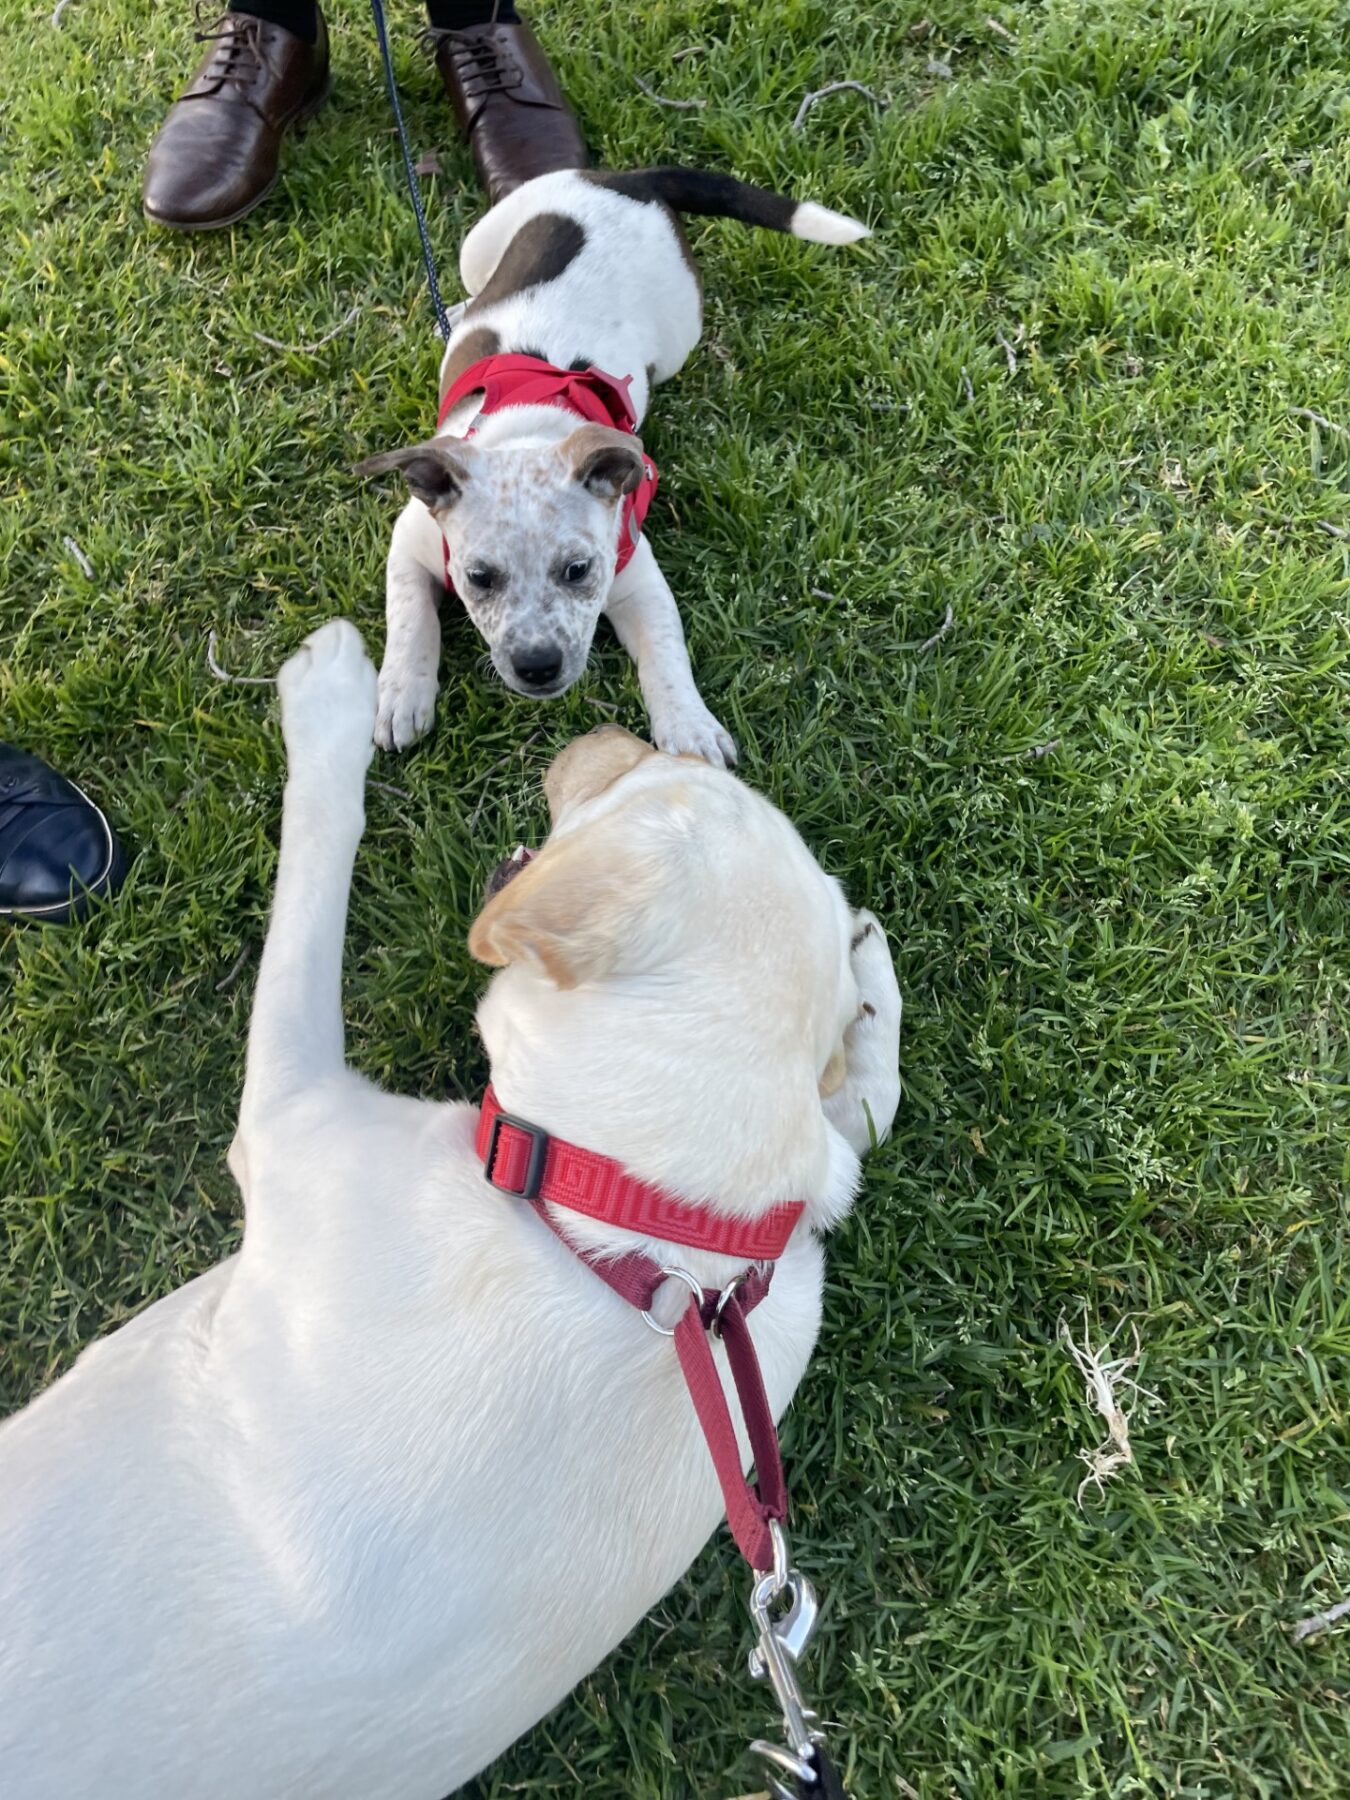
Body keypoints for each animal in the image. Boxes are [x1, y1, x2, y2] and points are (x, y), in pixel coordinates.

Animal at [2, 619, 910, 1800]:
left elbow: (315, 875)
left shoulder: (294, 1116)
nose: (602, 721)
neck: (643, 1231)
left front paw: (331, 700)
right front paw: (867, 978)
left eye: (640, 774)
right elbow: (858, 1116)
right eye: (680, 769)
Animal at [354, 169, 871, 759]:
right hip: (478, 245)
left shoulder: (639, 581)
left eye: (578, 570)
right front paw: (401, 694)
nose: (538, 666)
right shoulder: (409, 541)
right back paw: (462, 310)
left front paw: (689, 728)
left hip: (677, 332)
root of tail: (630, 176)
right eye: (479, 578)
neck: (530, 431)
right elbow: (409, 617)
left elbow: (667, 654)